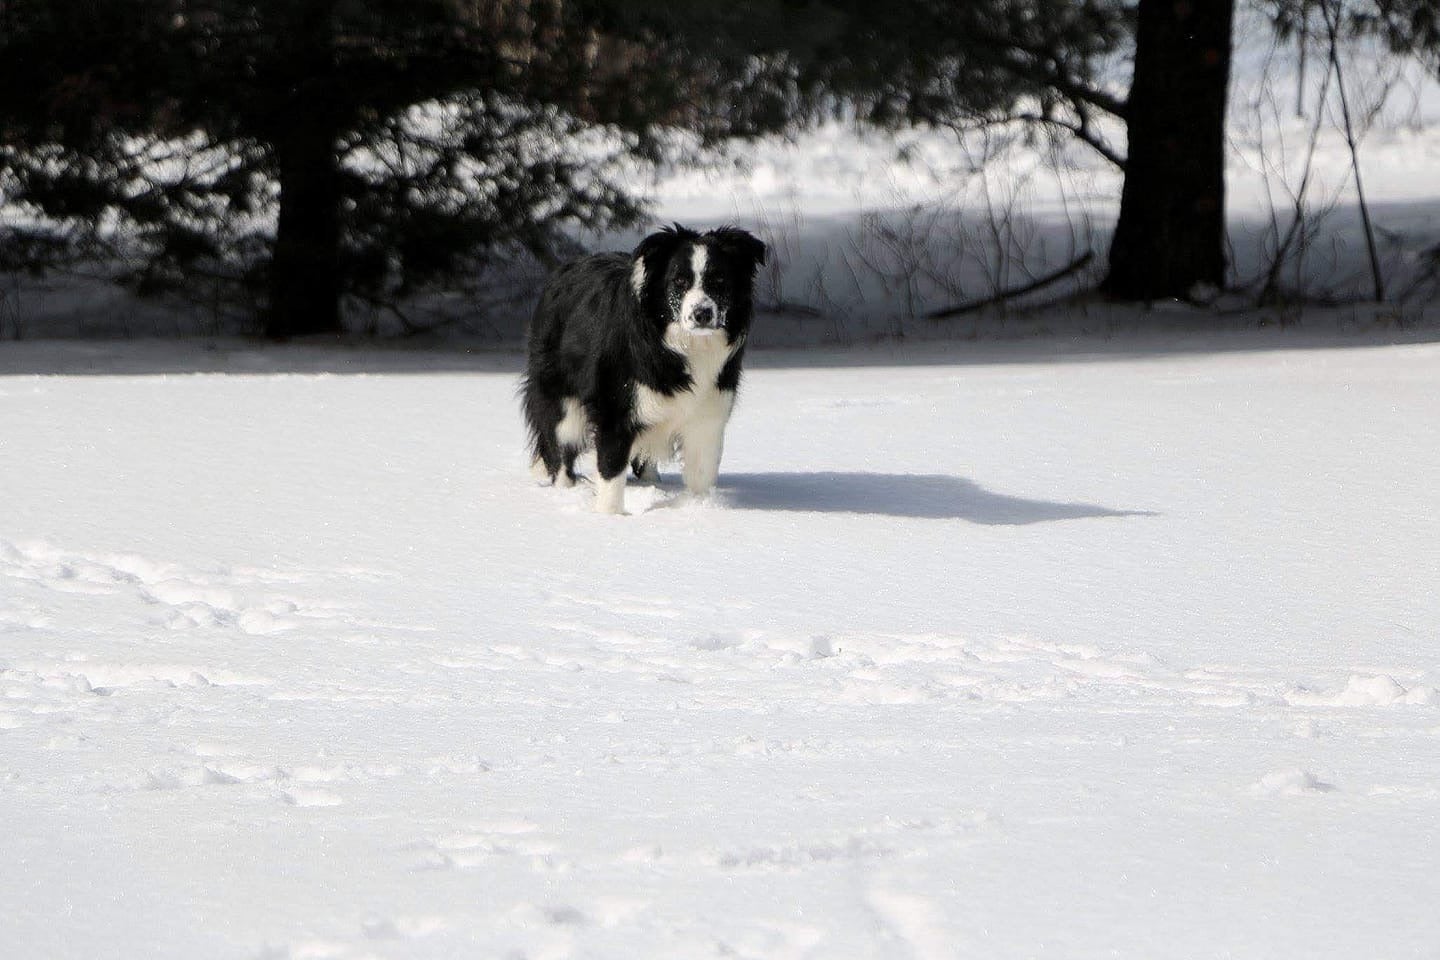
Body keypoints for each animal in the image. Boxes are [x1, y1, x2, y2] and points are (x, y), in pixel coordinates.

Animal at [518, 225, 766, 515]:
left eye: (719, 280)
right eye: (679, 281)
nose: (702, 313)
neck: (684, 345)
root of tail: (562, 271)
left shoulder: (708, 411)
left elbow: (701, 471)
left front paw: (699, 508)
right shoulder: (615, 410)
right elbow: (611, 471)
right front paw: (609, 516)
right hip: (561, 399)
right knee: (560, 447)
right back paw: (565, 492)